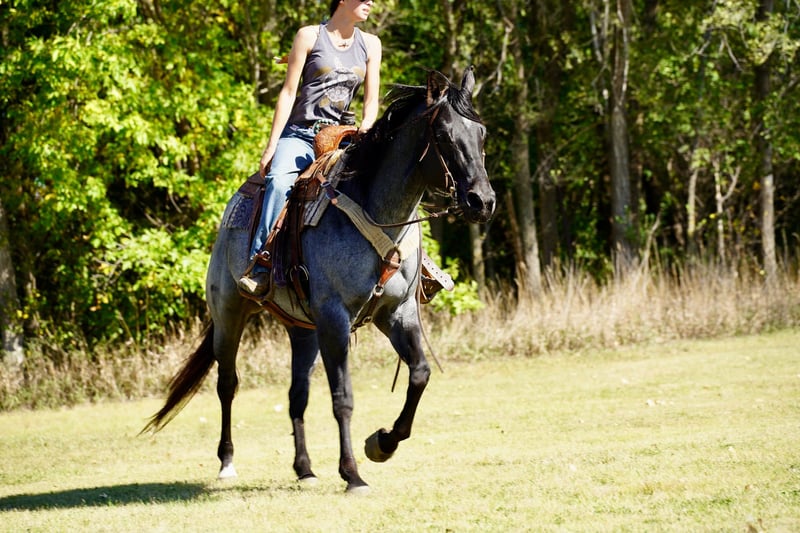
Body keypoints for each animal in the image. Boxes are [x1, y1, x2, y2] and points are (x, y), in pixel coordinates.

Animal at [143, 68, 496, 493]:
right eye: (443, 135)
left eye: (481, 135)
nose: (482, 201)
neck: (376, 212)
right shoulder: (334, 318)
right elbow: (342, 397)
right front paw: (353, 473)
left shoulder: (396, 313)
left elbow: (420, 374)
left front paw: (382, 443)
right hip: (230, 314)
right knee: (227, 384)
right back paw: (227, 462)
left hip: (303, 331)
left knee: (297, 395)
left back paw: (305, 468)